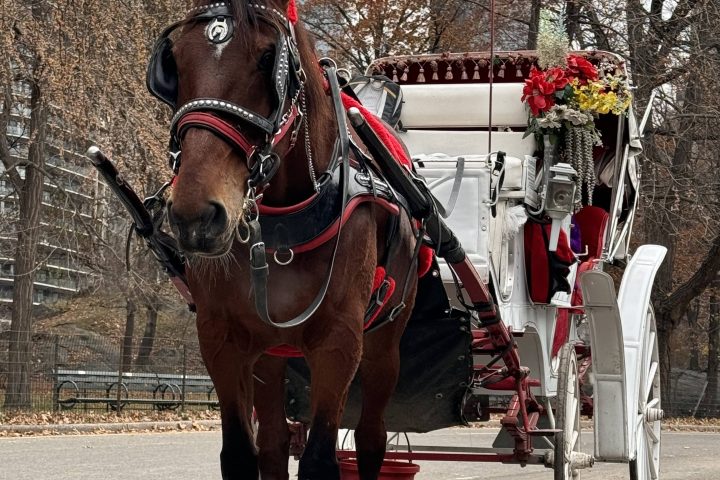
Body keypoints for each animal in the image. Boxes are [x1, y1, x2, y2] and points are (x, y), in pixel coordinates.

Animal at [147, 1, 420, 478]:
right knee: (273, 442)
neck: (278, 233)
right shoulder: (222, 340)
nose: (195, 216)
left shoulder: (339, 342)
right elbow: (241, 453)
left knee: (372, 437)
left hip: (385, 343)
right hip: (271, 355)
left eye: (266, 59)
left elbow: (320, 459)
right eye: (174, 63)